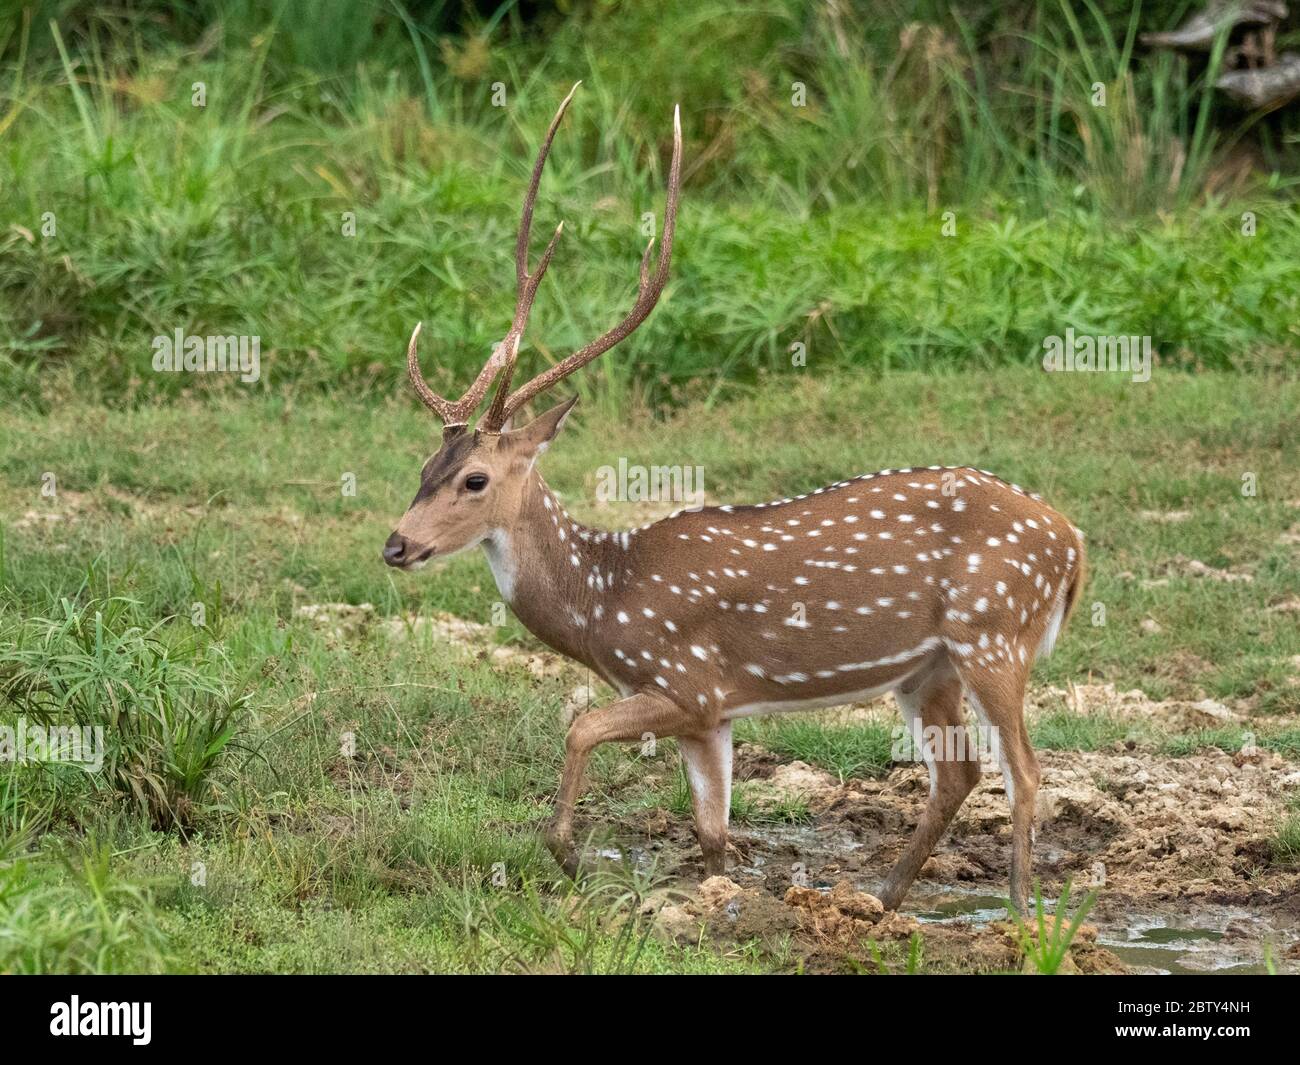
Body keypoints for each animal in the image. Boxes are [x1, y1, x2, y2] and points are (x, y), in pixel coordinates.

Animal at [382, 87, 1086, 910]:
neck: (604, 601)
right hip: (930, 667)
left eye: (476, 479)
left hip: (994, 633)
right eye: (424, 463)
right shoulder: (709, 717)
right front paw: (713, 892)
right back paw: (880, 896)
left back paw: (1017, 908)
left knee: (1024, 769)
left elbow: (579, 726)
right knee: (961, 771)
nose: (396, 544)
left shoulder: (684, 680)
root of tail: (1073, 542)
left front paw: (569, 855)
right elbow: (712, 832)